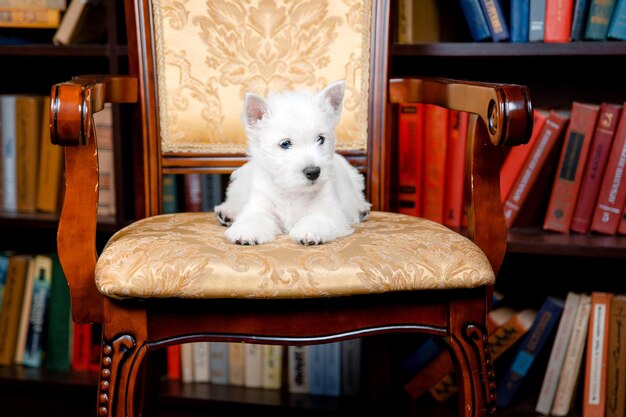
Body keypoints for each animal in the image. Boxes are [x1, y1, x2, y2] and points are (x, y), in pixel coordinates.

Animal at [214, 79, 370, 244]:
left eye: (320, 139)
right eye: (285, 143)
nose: (313, 172)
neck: (292, 191)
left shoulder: (328, 211)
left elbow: (317, 219)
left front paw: (309, 232)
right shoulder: (260, 204)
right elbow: (253, 218)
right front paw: (246, 232)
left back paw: (361, 210)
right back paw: (226, 212)